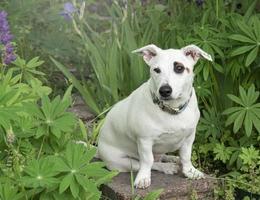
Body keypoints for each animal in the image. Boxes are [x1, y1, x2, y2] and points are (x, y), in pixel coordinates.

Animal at [97, 44, 211, 189]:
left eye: (179, 68)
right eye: (156, 70)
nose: (164, 91)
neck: (172, 109)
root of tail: (98, 151)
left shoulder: (189, 137)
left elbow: (186, 156)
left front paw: (190, 171)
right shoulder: (144, 141)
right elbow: (147, 161)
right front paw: (143, 178)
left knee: (163, 157)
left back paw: (173, 158)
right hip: (123, 162)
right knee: (148, 163)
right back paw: (167, 167)